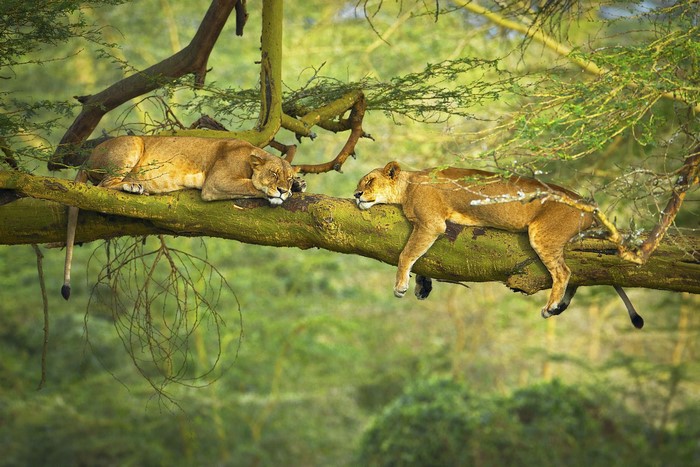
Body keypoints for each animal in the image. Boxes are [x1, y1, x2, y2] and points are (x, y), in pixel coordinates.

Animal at [61, 135, 305, 300]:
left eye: (288, 176)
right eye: (273, 174)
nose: (283, 189)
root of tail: (88, 158)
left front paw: (299, 185)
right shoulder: (216, 182)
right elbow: (252, 186)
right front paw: (279, 193)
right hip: (131, 145)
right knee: (103, 186)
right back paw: (134, 187)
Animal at [354, 161, 643, 328]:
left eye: (369, 181)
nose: (356, 195)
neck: (408, 187)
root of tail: (585, 202)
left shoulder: (431, 224)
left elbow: (407, 253)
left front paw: (400, 286)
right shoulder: (433, 228)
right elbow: (422, 256)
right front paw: (422, 285)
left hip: (543, 233)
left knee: (564, 272)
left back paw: (550, 306)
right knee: (577, 271)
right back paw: (558, 306)